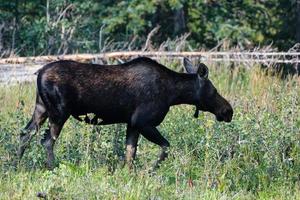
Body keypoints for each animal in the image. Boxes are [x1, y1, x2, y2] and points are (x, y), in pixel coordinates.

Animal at [17, 56, 233, 169]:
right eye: (214, 91)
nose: (228, 111)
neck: (174, 94)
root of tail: (39, 73)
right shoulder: (143, 122)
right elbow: (166, 147)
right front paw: (151, 169)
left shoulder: (132, 124)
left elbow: (130, 153)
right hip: (59, 112)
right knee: (46, 141)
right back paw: (51, 167)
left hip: (41, 109)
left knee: (24, 135)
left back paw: (15, 166)